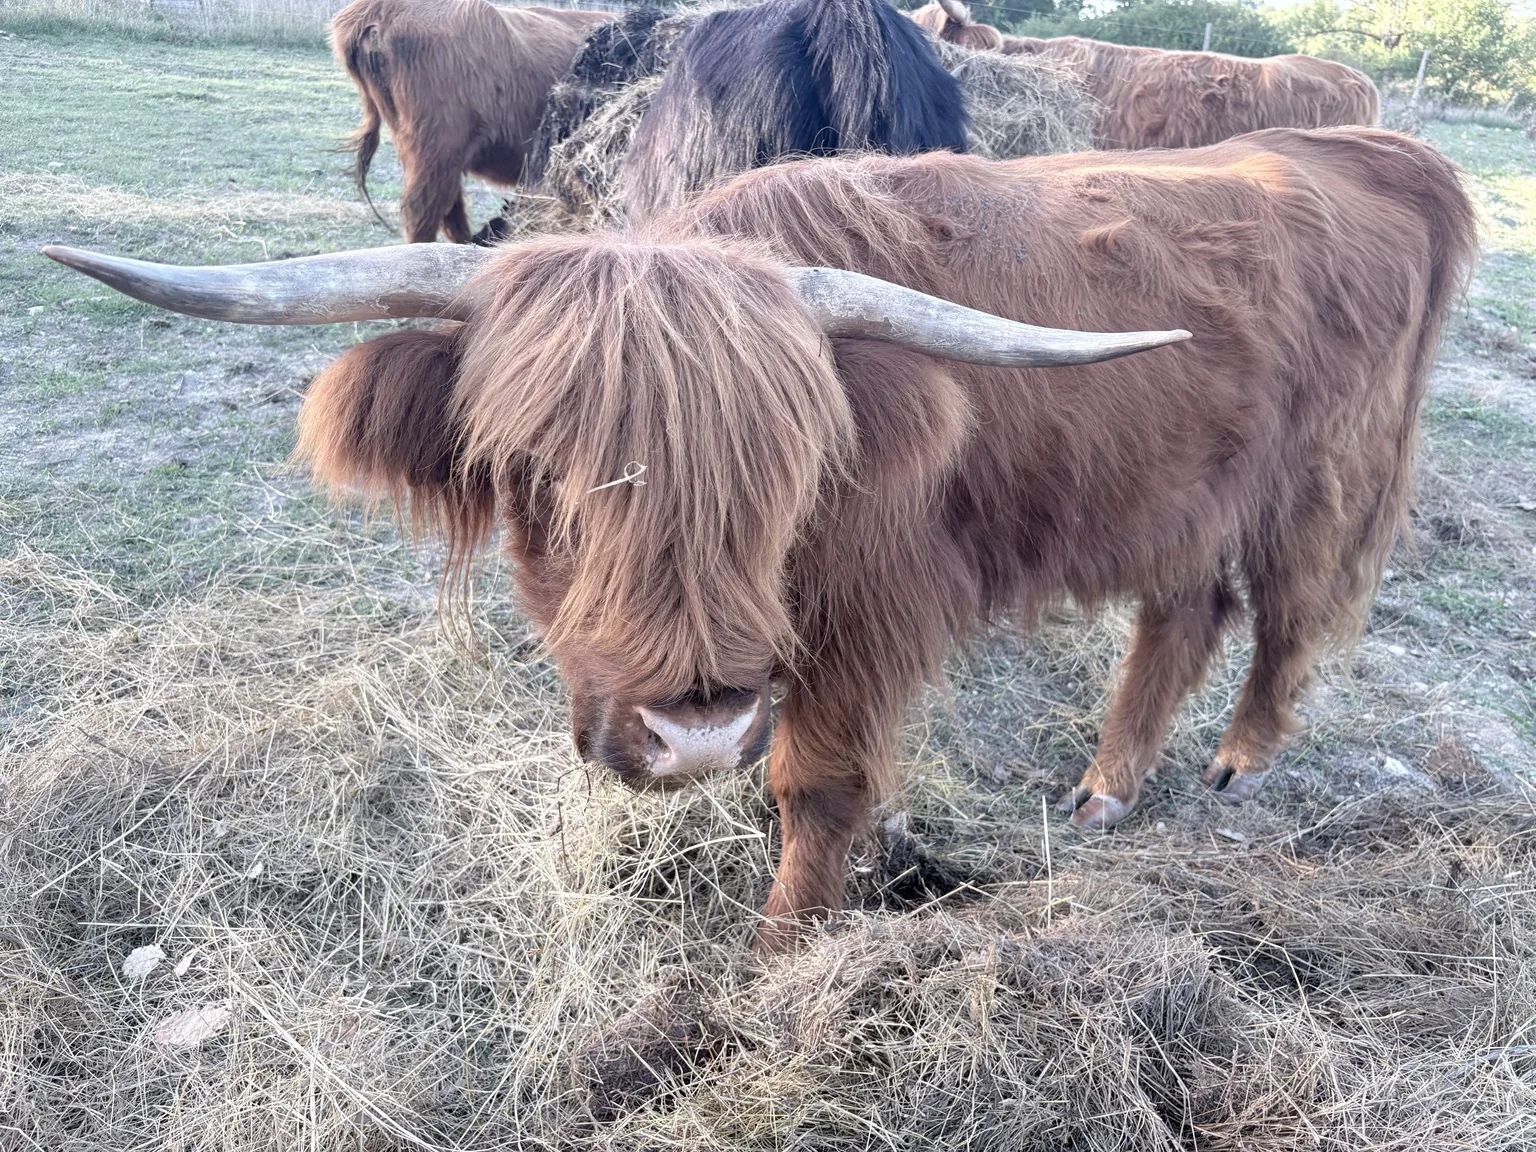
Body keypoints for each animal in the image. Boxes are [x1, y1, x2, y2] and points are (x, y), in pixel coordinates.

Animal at [46, 126, 1475, 955]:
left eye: (786, 483)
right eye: (535, 477)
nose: (695, 731)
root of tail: (1374, 146)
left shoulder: (863, 619)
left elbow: (816, 788)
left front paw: (783, 950)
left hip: (1324, 473)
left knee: (1291, 611)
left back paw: (1237, 765)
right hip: (1180, 481)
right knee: (1186, 610)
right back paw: (1106, 788)